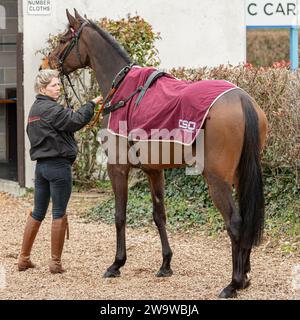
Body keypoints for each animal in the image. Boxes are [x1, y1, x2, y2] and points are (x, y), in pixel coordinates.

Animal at [41, 10, 268, 300]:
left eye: (62, 39)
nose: (47, 64)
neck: (124, 90)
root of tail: (242, 99)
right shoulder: (153, 170)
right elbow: (159, 215)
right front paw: (165, 264)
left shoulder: (118, 168)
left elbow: (120, 215)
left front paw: (116, 264)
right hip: (241, 175)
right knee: (246, 219)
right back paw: (246, 276)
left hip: (217, 179)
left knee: (235, 223)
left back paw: (234, 283)